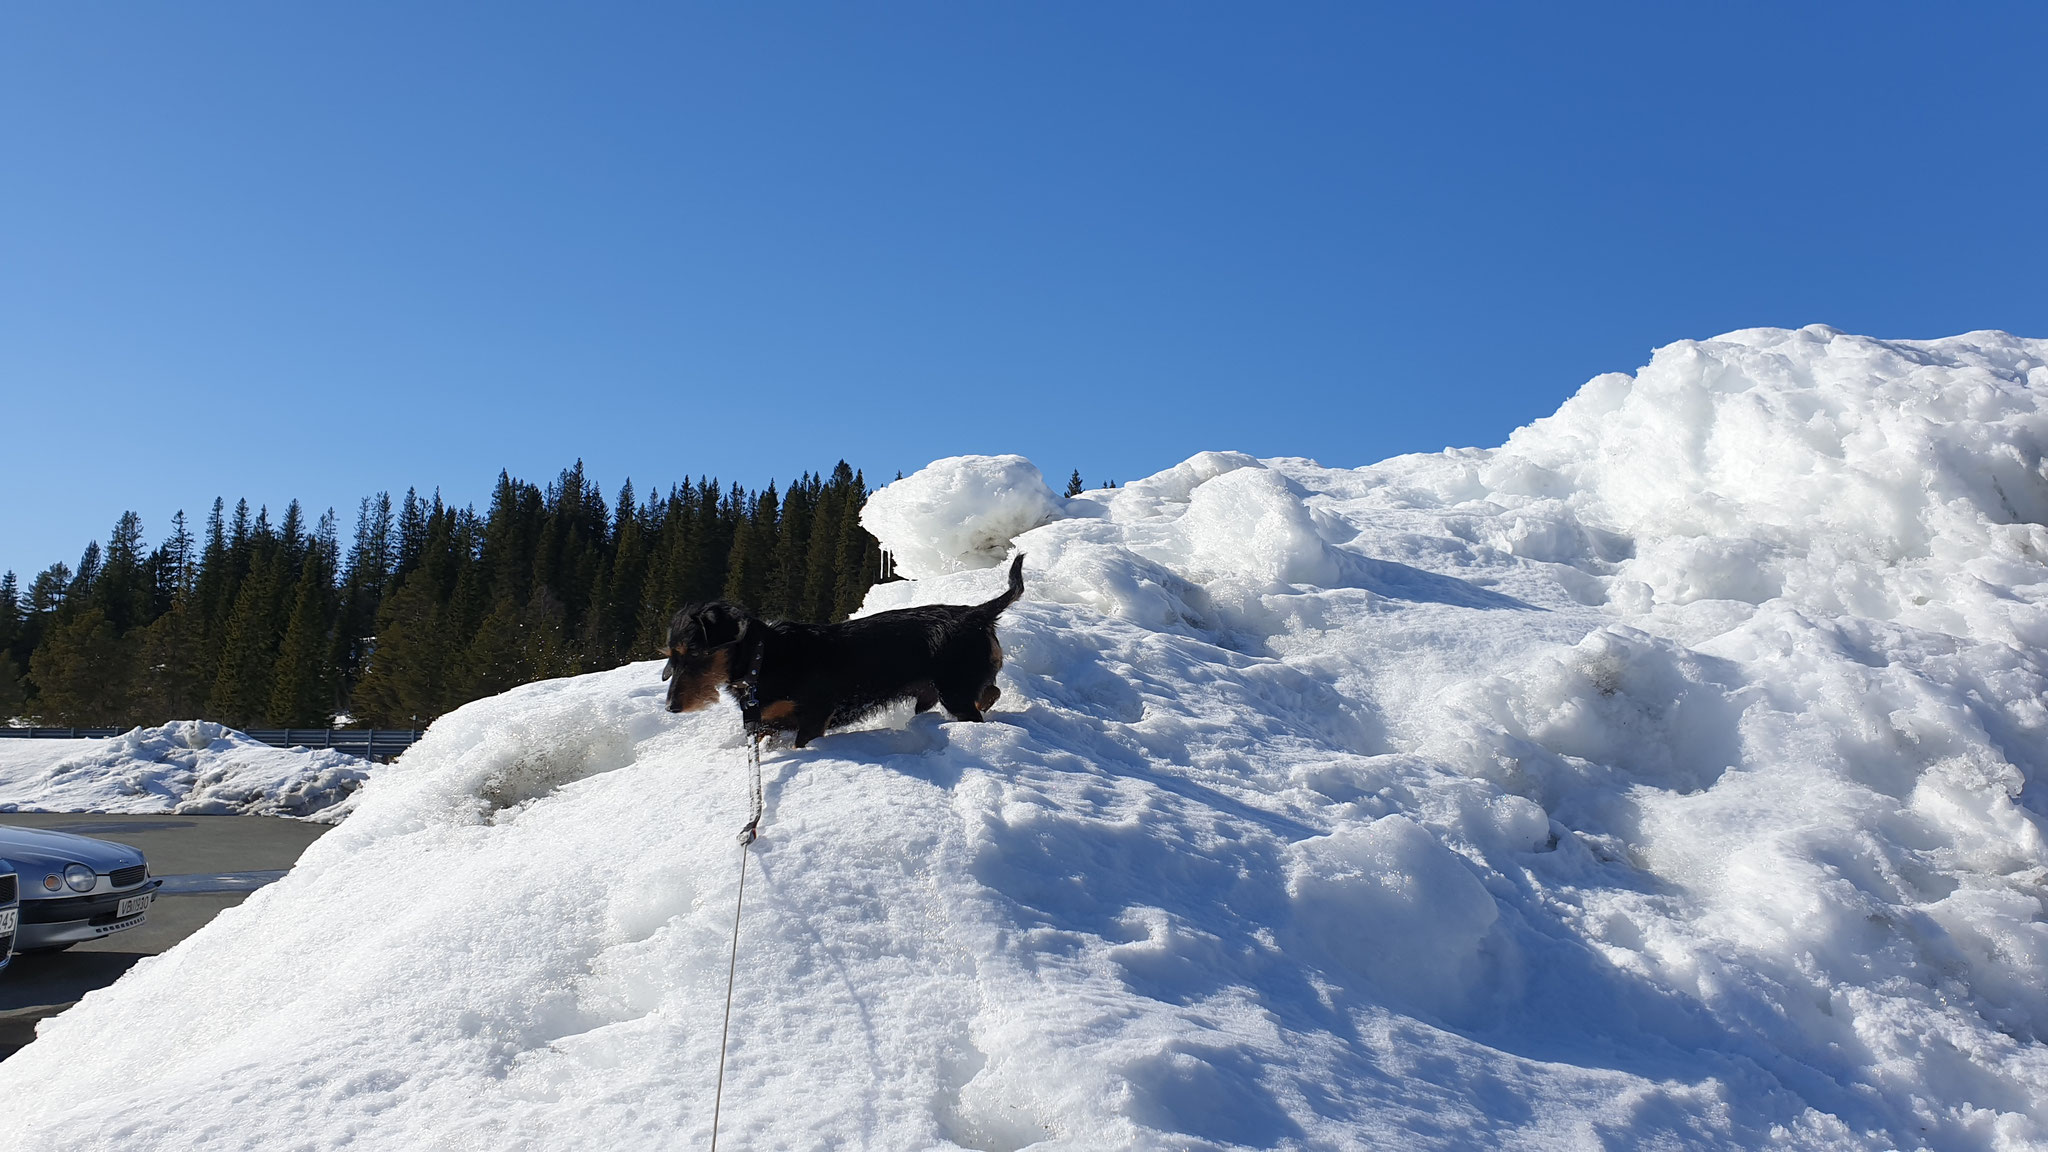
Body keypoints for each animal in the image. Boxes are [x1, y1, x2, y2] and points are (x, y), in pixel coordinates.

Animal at [667, 553, 1032, 746]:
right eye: (672, 655)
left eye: (695, 653)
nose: (671, 707)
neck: (763, 658)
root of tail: (977, 613)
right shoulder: (766, 723)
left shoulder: (815, 715)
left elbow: (801, 742)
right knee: (991, 690)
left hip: (955, 691)